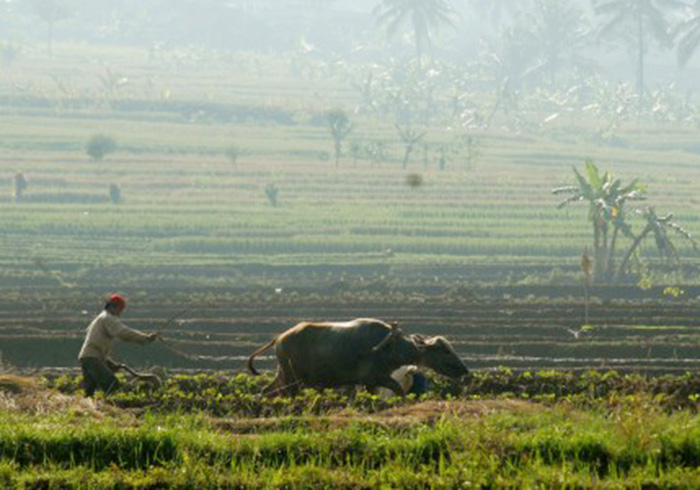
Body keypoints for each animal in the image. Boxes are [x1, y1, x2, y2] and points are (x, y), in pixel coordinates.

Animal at [247, 320, 470, 396]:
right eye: (445, 350)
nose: (464, 369)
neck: (390, 347)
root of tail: (279, 338)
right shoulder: (375, 378)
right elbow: (399, 390)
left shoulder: (369, 383)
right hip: (291, 378)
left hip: (284, 374)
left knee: (266, 390)